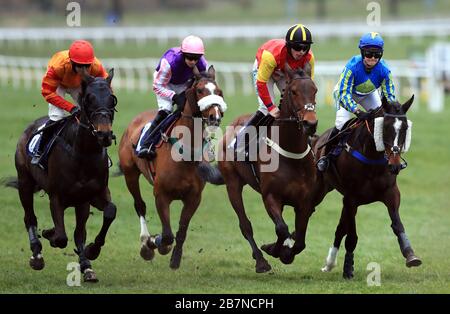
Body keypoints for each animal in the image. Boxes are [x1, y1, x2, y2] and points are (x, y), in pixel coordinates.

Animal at [4, 68, 117, 282]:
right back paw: (37, 255)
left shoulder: (91, 196)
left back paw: (86, 265)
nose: (104, 135)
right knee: (29, 217)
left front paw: (91, 253)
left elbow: (108, 213)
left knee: (78, 232)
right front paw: (50, 233)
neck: (83, 152)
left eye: (112, 99)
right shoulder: (56, 196)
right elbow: (61, 236)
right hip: (24, 182)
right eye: (88, 99)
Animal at [118, 65, 227, 268]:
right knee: (139, 205)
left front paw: (175, 258)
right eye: (200, 90)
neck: (185, 151)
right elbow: (167, 235)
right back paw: (145, 242)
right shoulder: (161, 195)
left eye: (218, 91)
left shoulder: (193, 197)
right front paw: (155, 243)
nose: (214, 116)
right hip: (130, 174)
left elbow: (181, 231)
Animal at [217, 67, 316, 272]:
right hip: (232, 184)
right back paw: (261, 261)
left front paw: (286, 252)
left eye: (315, 90)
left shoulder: (305, 201)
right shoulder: (270, 196)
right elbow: (282, 228)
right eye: (293, 91)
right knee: (245, 224)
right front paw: (274, 250)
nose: (311, 124)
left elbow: (300, 239)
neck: (291, 154)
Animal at [314, 94, 424, 278]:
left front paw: (411, 255)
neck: (372, 157)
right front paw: (348, 269)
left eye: (405, 128)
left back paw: (329, 264)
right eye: (384, 127)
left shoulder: (391, 193)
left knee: (340, 228)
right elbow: (352, 236)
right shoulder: (351, 198)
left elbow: (397, 225)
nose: (395, 165)